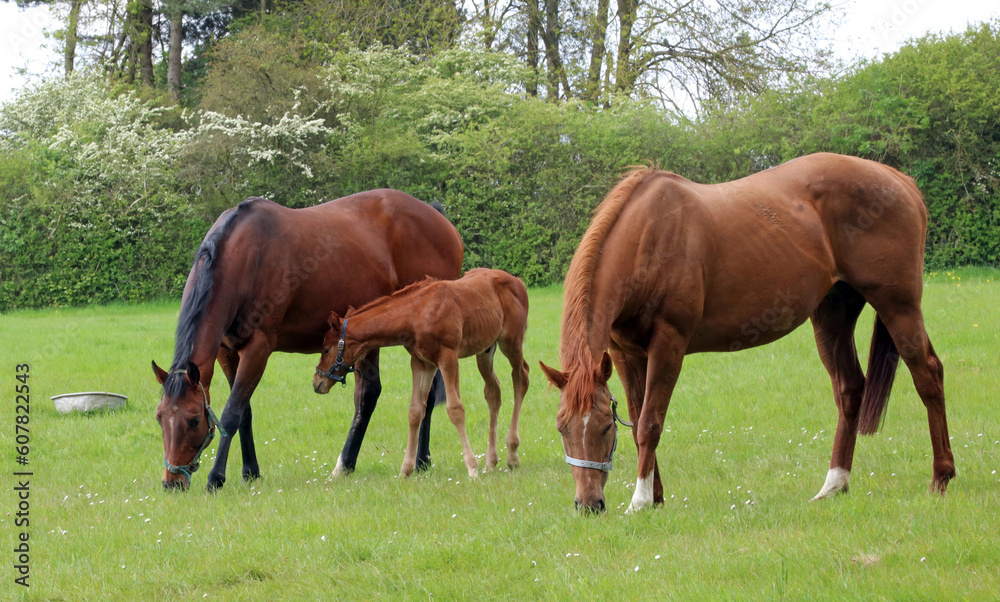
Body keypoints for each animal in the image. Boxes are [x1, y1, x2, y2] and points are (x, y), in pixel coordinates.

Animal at [152, 190, 464, 490]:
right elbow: (244, 411)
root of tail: (436, 217)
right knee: (369, 394)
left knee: (422, 396)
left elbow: (231, 413)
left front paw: (216, 478)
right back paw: (347, 465)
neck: (245, 257)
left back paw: (419, 460)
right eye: (159, 416)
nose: (171, 483)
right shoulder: (227, 352)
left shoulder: (258, 349)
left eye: (194, 420)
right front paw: (250, 471)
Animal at [314, 268, 532, 478]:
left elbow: (455, 409)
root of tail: (518, 281)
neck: (417, 313)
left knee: (521, 377)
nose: (317, 381)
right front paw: (406, 470)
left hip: (510, 342)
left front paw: (472, 468)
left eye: (325, 349)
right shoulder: (421, 363)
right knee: (493, 391)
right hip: (485, 350)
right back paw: (492, 461)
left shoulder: (448, 357)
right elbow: (415, 411)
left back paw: (512, 455)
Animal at [544, 152, 956, 508]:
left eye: (603, 428)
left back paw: (941, 478)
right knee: (850, 389)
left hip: (898, 305)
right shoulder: (625, 354)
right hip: (832, 315)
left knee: (928, 375)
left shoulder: (668, 345)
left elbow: (649, 423)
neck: (649, 238)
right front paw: (656, 497)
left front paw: (640, 501)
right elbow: (637, 421)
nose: (588, 504)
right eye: (562, 428)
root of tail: (899, 181)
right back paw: (834, 485)